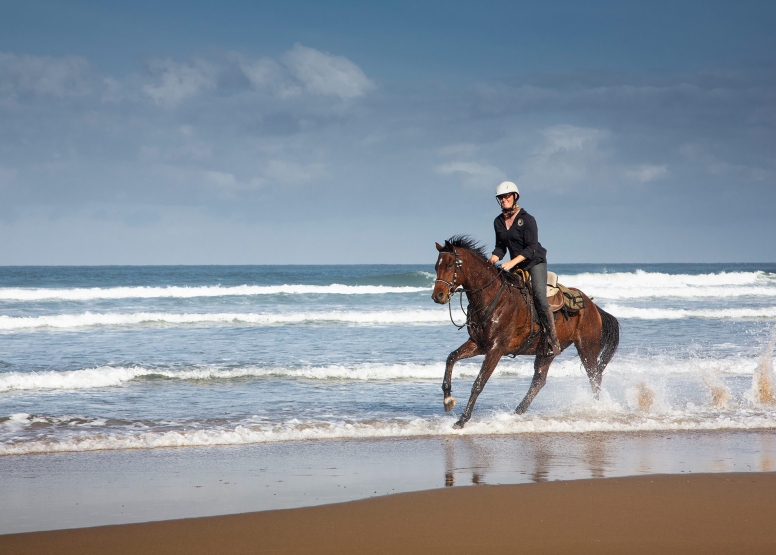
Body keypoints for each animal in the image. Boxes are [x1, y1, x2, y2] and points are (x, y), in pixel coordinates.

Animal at [430, 235, 620, 430]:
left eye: (450, 265)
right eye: (436, 266)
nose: (438, 296)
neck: (491, 297)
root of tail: (593, 306)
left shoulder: (496, 349)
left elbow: (478, 383)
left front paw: (462, 420)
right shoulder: (478, 344)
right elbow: (451, 357)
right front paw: (448, 400)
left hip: (587, 347)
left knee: (594, 377)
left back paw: (595, 409)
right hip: (547, 352)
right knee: (539, 381)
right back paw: (517, 412)